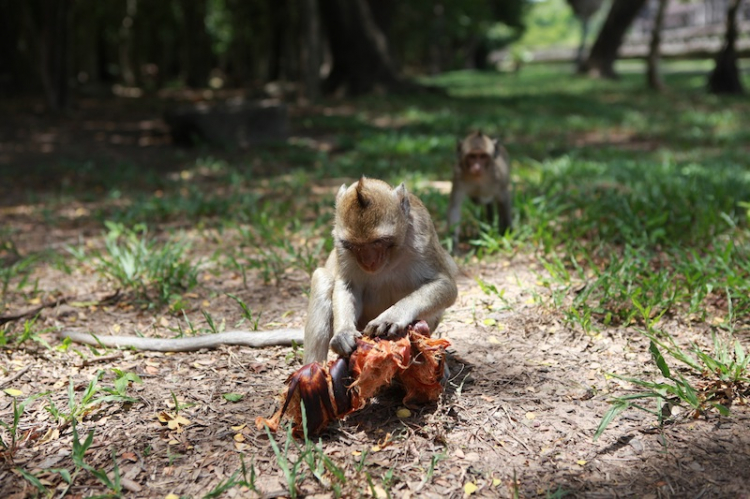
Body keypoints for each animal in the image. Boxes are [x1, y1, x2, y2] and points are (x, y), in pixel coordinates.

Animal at [57, 179, 458, 364]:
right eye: (356, 247)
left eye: (380, 243)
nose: (369, 262)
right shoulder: (342, 250)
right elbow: (343, 283)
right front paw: (344, 335)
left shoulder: (421, 236)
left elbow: (447, 286)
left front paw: (395, 316)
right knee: (323, 280)